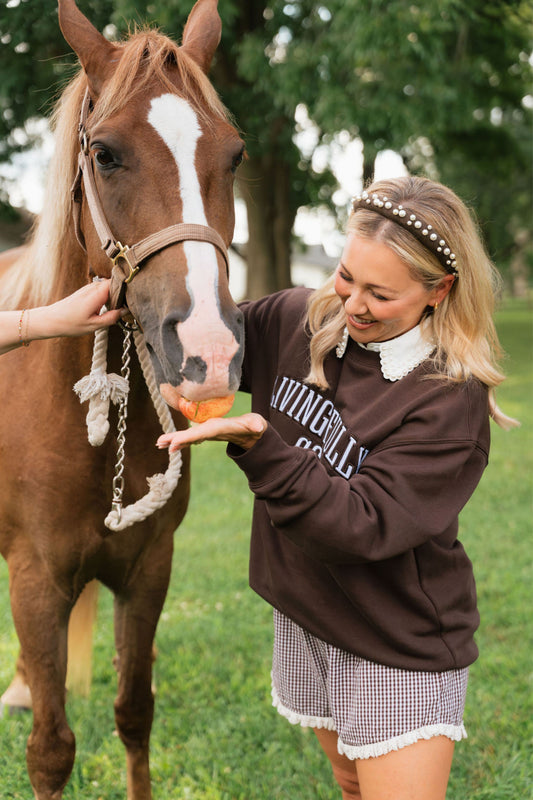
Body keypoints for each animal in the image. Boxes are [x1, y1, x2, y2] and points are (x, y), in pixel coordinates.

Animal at [0, 0, 244, 797]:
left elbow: (135, 713)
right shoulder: (36, 579)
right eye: (105, 154)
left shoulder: (148, 569)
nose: (209, 349)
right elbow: (51, 749)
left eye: (234, 154)